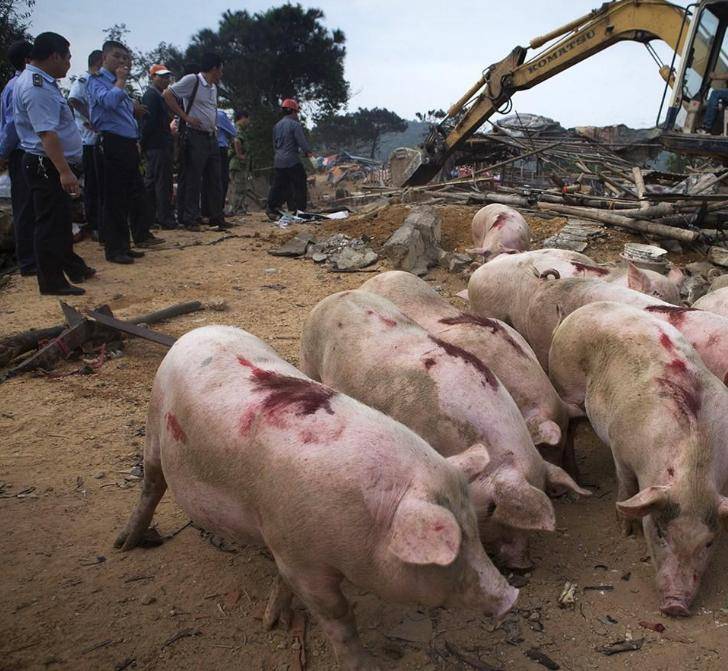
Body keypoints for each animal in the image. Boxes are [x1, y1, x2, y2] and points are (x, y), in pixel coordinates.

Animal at [115, 326, 516, 671]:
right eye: (449, 548)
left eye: (474, 530)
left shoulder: (281, 541)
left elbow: (282, 579)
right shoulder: (302, 559)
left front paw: (273, 621)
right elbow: (338, 614)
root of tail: (196, 331)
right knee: (151, 486)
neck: (371, 522)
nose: (509, 596)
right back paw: (124, 545)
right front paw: (362, 664)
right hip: (154, 424)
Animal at [548, 304, 728, 620]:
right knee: (570, 428)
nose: (676, 605)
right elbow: (625, 487)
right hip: (565, 383)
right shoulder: (621, 448)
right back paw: (578, 477)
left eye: (708, 542)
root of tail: (573, 315)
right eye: (660, 532)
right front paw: (625, 530)